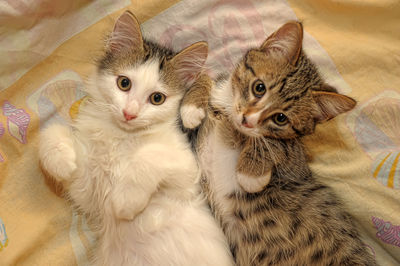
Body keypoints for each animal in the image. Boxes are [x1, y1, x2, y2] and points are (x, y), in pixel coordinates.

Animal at [39, 10, 233, 266]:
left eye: (157, 98)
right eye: (124, 83)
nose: (129, 113)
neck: (122, 137)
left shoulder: (189, 171)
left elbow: (150, 155)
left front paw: (125, 199)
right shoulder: (89, 191)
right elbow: (51, 131)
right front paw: (61, 161)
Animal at [183, 21, 376, 266]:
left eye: (281, 118)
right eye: (259, 87)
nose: (247, 119)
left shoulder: (296, 163)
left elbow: (279, 144)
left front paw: (250, 173)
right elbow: (206, 78)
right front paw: (191, 108)